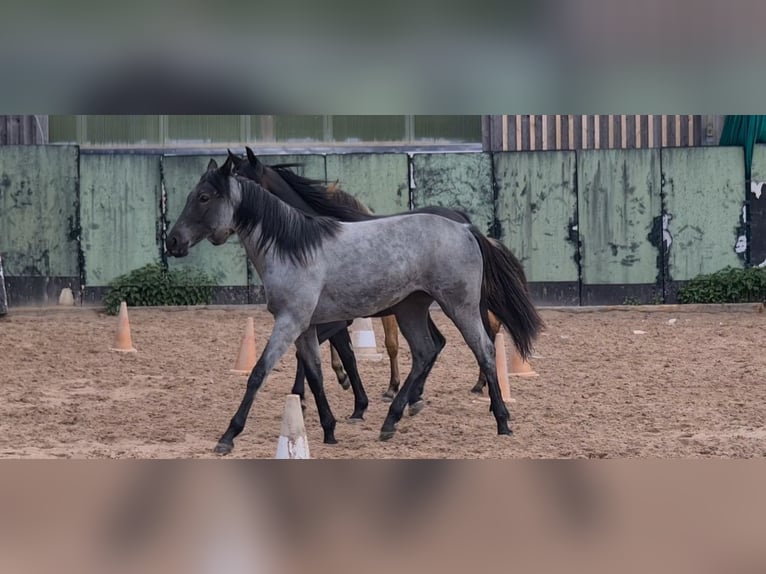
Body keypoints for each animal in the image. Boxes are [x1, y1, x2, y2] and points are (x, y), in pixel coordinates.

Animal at [165, 155, 544, 456]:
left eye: (204, 197)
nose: (173, 241)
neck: (294, 248)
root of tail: (465, 228)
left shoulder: (290, 322)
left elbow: (259, 373)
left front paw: (228, 435)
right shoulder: (307, 327)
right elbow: (316, 374)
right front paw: (330, 428)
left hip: (460, 306)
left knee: (484, 349)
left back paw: (501, 420)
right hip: (410, 310)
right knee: (425, 351)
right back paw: (391, 420)